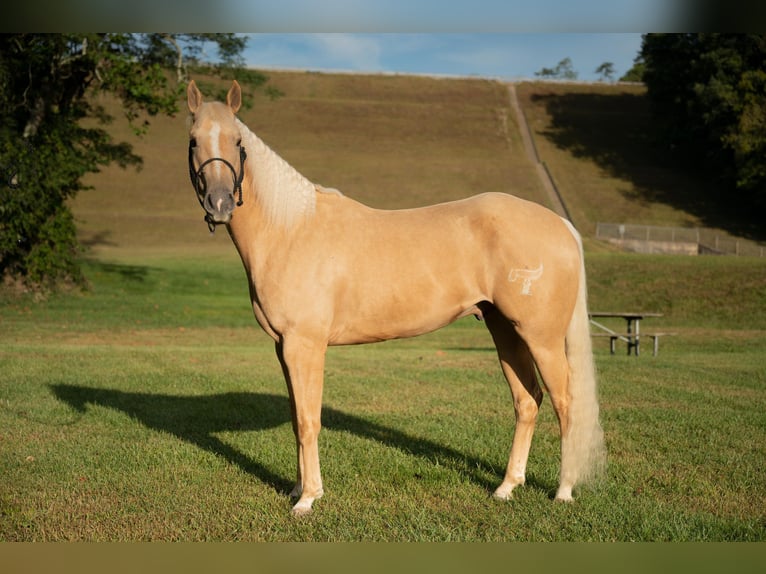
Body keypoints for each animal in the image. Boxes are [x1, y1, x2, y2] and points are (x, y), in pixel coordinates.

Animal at [186, 80, 608, 516]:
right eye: (193, 140)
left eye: (237, 141)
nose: (219, 203)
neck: (291, 229)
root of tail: (560, 224)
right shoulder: (283, 347)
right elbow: (295, 415)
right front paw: (297, 488)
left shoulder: (304, 345)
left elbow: (308, 420)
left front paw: (307, 498)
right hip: (505, 331)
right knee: (528, 401)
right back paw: (506, 487)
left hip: (542, 338)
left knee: (565, 403)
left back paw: (563, 490)